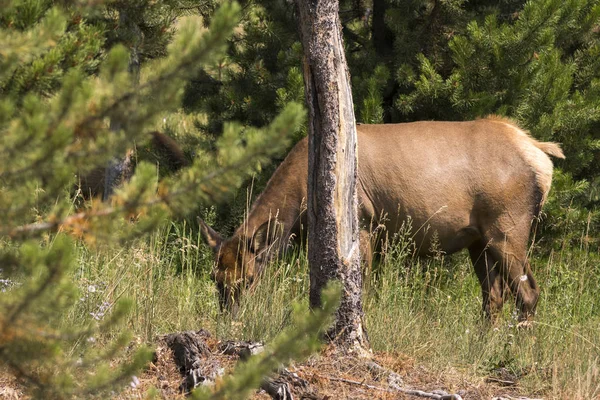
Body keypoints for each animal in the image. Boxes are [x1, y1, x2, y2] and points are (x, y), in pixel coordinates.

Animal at [199, 117, 564, 320]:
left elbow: (363, 286)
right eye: (216, 279)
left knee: (528, 293)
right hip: (479, 239)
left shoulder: (365, 223)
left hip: (508, 226)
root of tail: (541, 156)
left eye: (247, 279)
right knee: (494, 297)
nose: (230, 319)